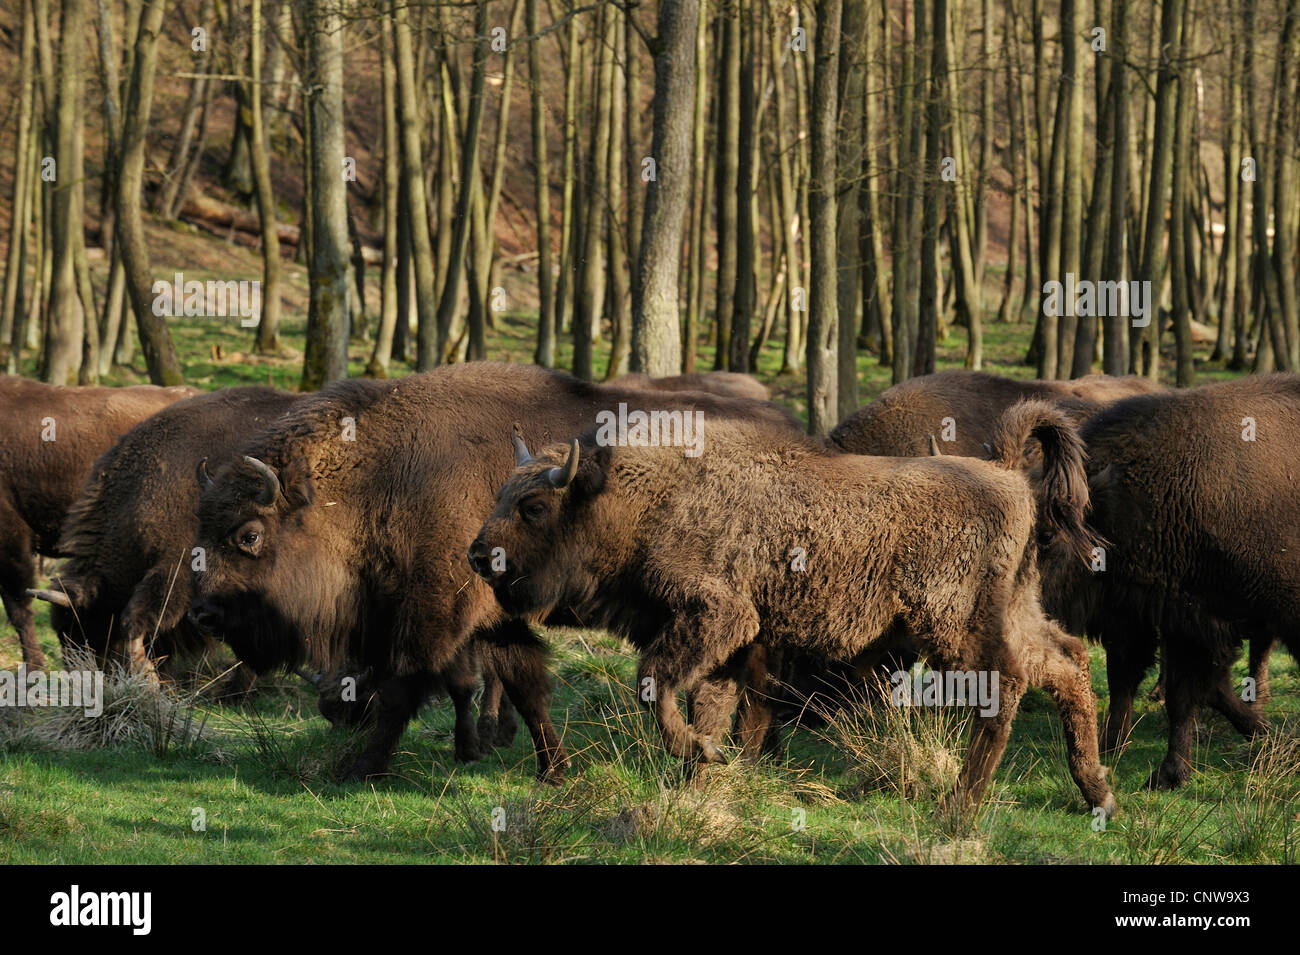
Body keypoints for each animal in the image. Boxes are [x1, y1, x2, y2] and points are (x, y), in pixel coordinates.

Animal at [183, 361, 790, 779]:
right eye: (201, 528)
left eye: (249, 535)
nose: (204, 614)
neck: (381, 480)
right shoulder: (492, 618)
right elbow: (524, 686)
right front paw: (553, 768)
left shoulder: (433, 616)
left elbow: (407, 688)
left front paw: (361, 768)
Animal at [470, 400, 1118, 815]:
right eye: (501, 494)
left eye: (533, 506)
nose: (478, 555)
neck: (637, 498)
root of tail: (1007, 475)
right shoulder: (737, 642)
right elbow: (713, 704)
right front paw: (700, 777)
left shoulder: (719, 616)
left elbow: (655, 681)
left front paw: (696, 755)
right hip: (1013, 612)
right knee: (1067, 665)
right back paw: (1098, 793)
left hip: (952, 629)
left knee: (1005, 689)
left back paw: (960, 809)